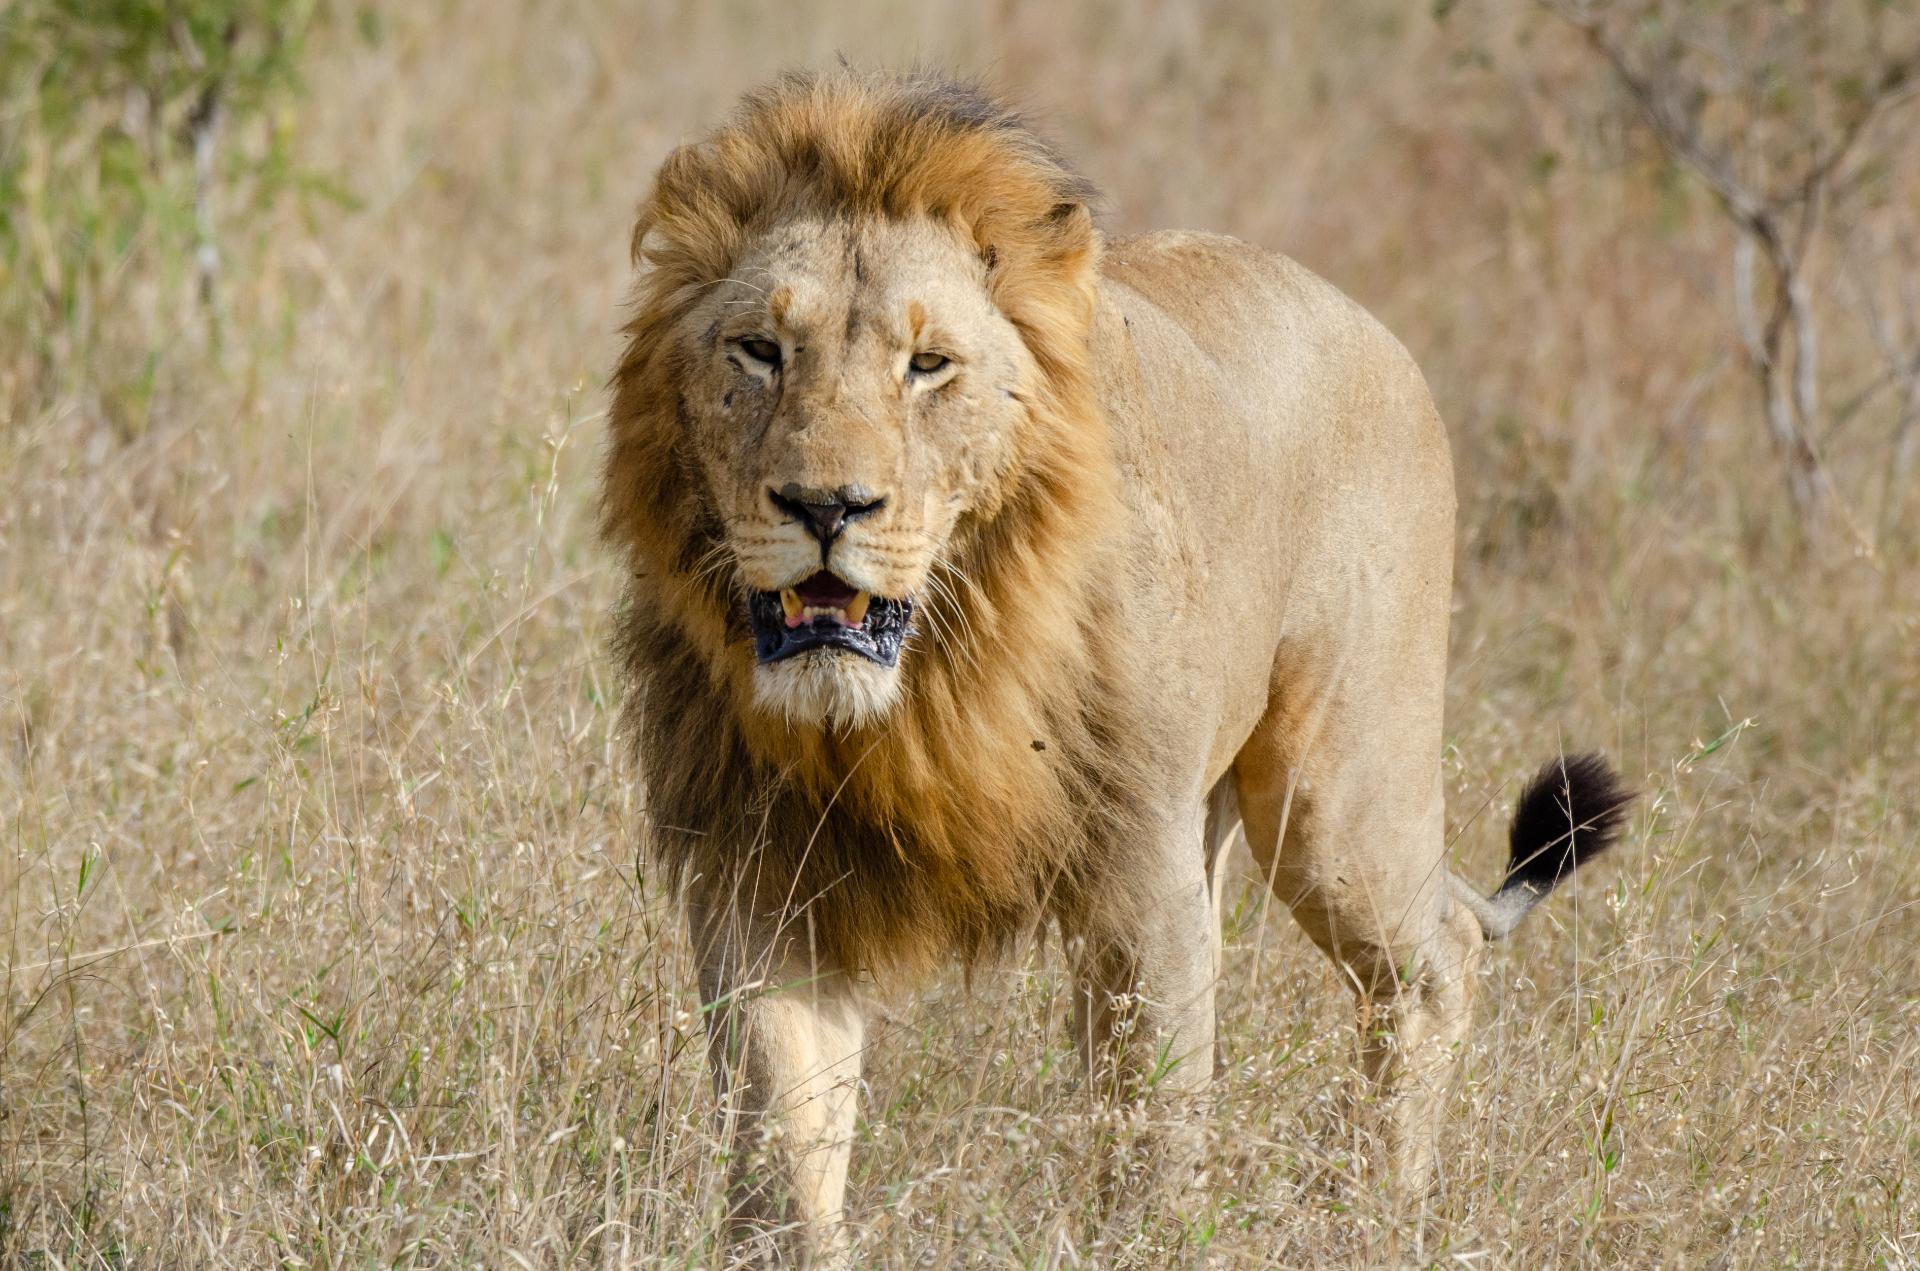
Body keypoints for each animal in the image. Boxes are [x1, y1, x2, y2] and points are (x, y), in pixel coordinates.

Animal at [601, 69, 1634, 1261]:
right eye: (760, 352)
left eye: (928, 365)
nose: (825, 506)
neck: (926, 689)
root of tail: (1365, 318)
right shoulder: (761, 877)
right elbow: (785, 1159)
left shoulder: (1140, 878)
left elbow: (1146, 1144)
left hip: (1335, 799)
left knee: (1436, 959)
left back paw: (1381, 1212)